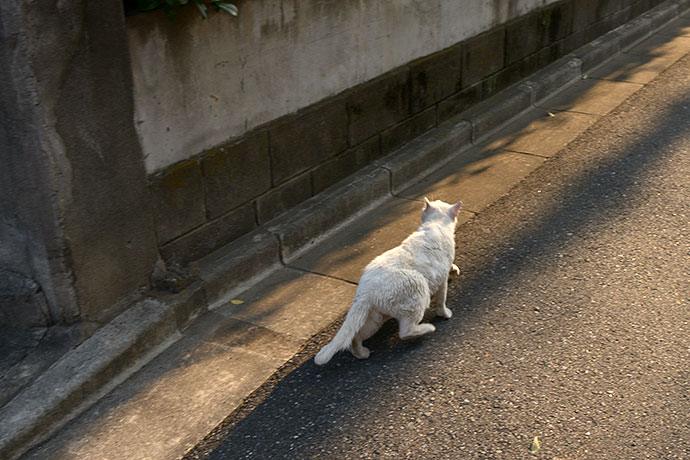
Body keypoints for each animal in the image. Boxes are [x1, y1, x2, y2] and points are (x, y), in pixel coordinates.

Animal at [314, 199, 460, 366]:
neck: (436, 224)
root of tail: (365, 291)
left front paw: (454, 269)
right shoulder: (441, 279)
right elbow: (442, 300)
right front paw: (445, 313)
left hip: (374, 319)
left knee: (354, 338)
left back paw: (362, 353)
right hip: (418, 288)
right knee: (405, 332)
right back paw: (428, 328)